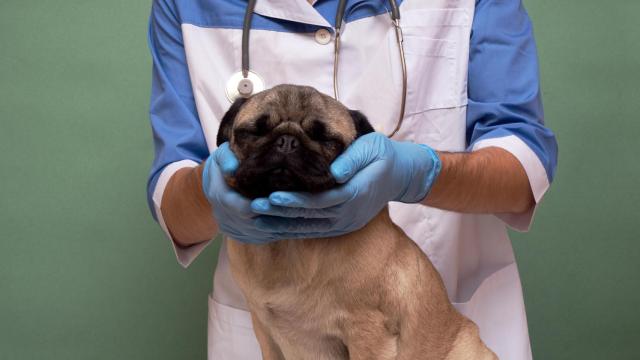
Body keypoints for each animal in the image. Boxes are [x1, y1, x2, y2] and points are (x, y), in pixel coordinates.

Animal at [215, 85, 496, 360]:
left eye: (327, 140)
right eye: (253, 132)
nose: (287, 141)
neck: (291, 242)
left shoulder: (367, 332)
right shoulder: (264, 331)